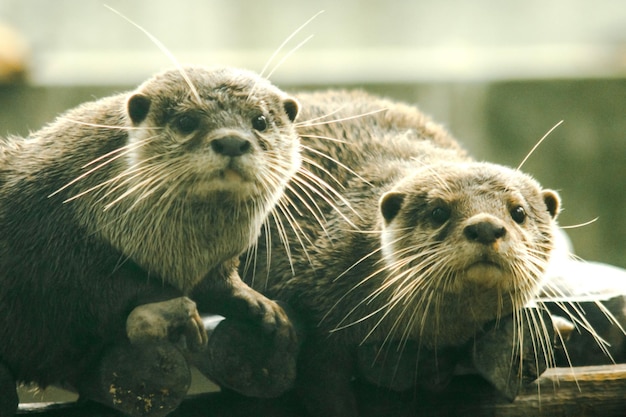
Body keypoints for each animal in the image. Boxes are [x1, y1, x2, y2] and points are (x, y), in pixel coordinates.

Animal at [0, 65, 300, 416]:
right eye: (187, 121)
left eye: (260, 121)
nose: (231, 141)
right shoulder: (49, 253)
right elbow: (109, 289)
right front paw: (173, 311)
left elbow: (218, 284)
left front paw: (262, 306)